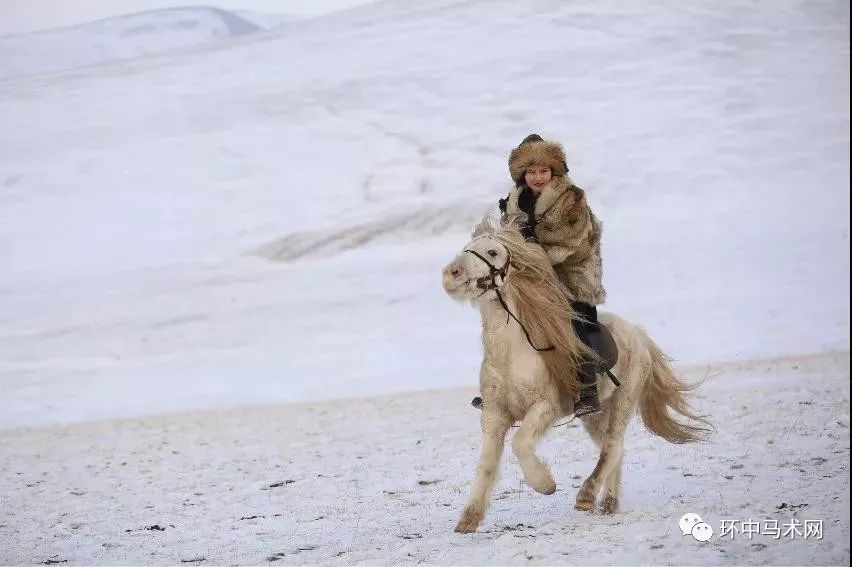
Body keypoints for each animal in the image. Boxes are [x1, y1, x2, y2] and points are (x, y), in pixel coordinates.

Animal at [440, 217, 712, 532]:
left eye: (492, 252)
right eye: (466, 248)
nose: (451, 274)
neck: (512, 354)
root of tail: (636, 333)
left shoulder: (545, 407)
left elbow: (520, 443)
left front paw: (545, 484)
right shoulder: (494, 415)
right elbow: (485, 465)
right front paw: (468, 520)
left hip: (623, 401)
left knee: (613, 446)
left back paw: (587, 496)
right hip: (594, 415)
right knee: (614, 449)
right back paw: (608, 505)